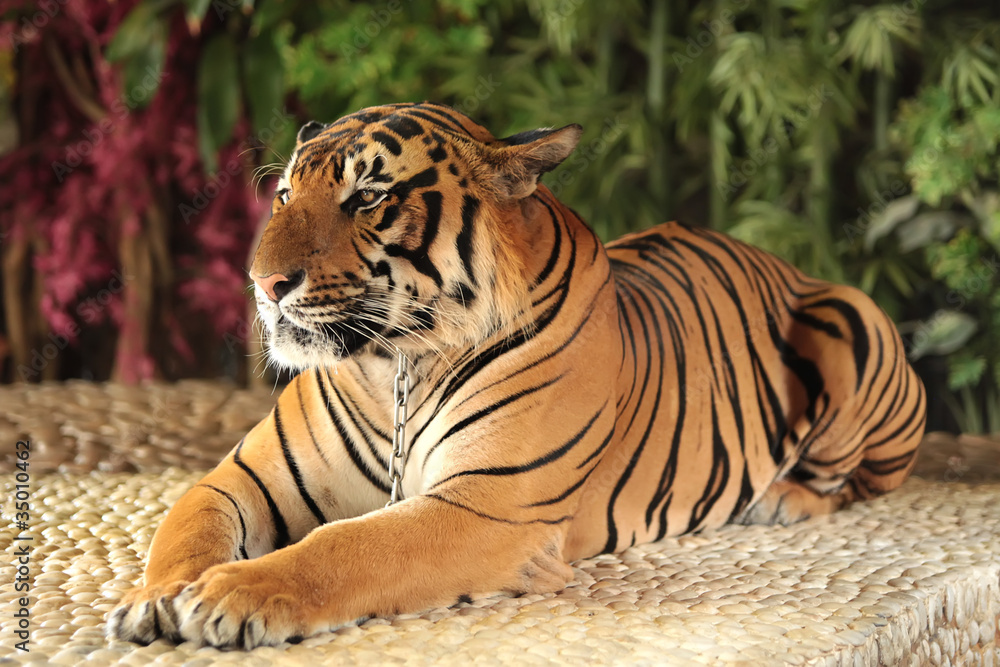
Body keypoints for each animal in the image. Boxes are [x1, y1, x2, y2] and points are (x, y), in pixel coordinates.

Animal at [108, 102, 926, 649]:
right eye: (284, 195)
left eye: (368, 197)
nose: (263, 283)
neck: (392, 364)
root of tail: (780, 259)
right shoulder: (239, 477)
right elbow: (187, 528)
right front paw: (159, 598)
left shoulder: (487, 505)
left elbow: (346, 547)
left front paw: (235, 595)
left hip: (849, 320)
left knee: (858, 480)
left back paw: (782, 501)